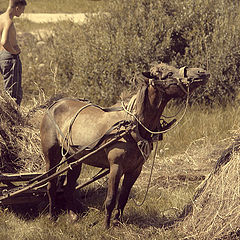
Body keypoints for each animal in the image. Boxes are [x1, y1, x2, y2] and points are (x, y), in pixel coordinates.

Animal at [39, 62, 210, 228]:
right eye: (168, 74)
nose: (201, 72)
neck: (132, 125)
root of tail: (54, 104)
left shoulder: (135, 169)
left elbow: (123, 197)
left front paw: (117, 221)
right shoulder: (116, 167)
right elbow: (111, 198)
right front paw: (106, 226)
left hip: (75, 159)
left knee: (69, 187)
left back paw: (72, 215)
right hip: (51, 156)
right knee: (51, 185)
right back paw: (52, 216)